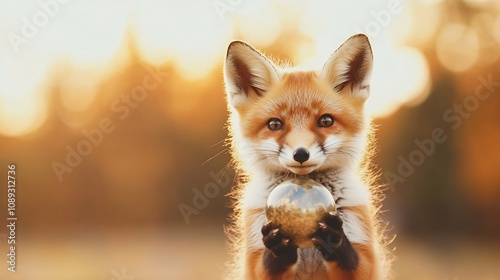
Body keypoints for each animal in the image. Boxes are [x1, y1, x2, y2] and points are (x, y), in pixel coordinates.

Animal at [223, 35, 390, 280]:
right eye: (275, 124)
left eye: (326, 121)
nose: (301, 154)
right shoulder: (254, 254)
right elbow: (267, 266)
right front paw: (278, 249)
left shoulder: (363, 244)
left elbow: (355, 263)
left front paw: (334, 240)